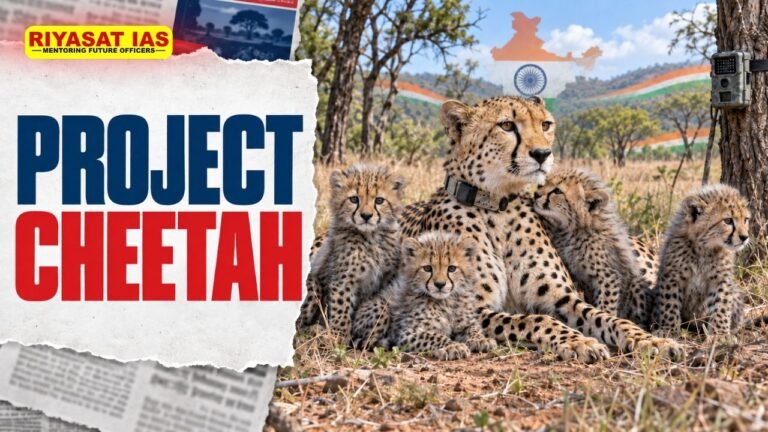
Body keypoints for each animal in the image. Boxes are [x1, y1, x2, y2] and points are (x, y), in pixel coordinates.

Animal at [294, 163, 405, 343]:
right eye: (354, 199)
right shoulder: (344, 280)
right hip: (312, 284)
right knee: (299, 323)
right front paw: (338, 338)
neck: (371, 237)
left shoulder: (384, 279)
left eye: (379, 200)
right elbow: (342, 309)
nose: (366, 216)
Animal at [386, 231, 498, 360]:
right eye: (427, 268)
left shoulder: (466, 322)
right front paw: (453, 346)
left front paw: (481, 339)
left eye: (452, 268)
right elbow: (434, 336)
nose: (440, 284)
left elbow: (474, 328)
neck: (446, 302)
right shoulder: (408, 333)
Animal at [532, 167, 656, 327]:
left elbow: (605, 304)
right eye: (543, 183)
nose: (536, 194)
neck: (573, 229)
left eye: (557, 191)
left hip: (634, 284)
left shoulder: (608, 276)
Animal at [652, 184, 750, 338]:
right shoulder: (672, 276)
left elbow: (721, 306)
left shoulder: (720, 280)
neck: (704, 247)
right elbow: (670, 303)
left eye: (745, 219)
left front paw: (720, 334)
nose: (745, 237)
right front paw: (669, 329)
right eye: (728, 220)